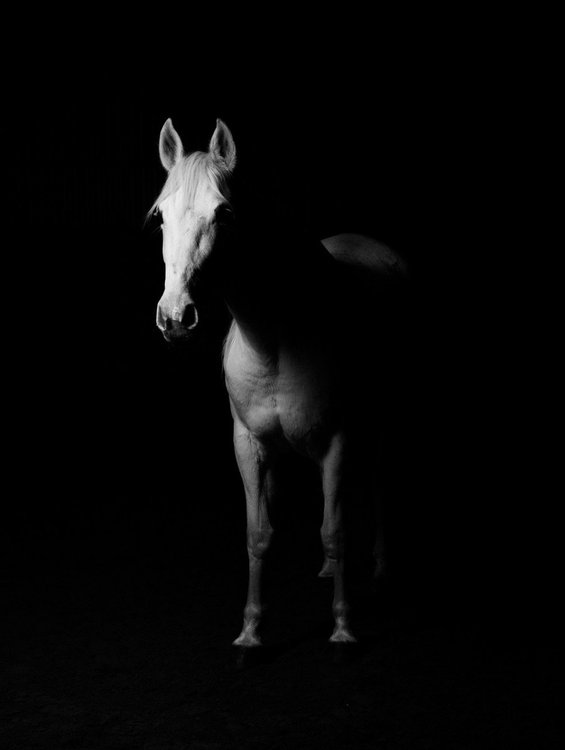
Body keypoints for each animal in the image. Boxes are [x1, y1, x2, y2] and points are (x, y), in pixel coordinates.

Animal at [151, 118, 408, 647]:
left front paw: (343, 626)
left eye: (224, 212)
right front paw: (251, 629)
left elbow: (336, 530)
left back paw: (379, 570)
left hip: (382, 417)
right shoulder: (248, 443)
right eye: (161, 215)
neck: (275, 339)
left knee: (376, 481)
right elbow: (259, 533)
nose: (175, 317)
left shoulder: (338, 439)